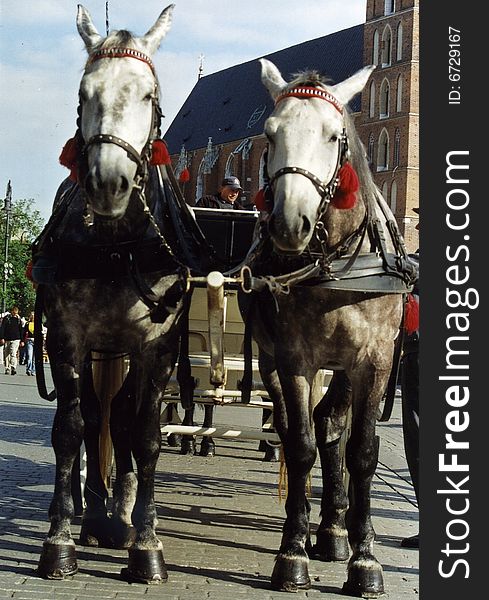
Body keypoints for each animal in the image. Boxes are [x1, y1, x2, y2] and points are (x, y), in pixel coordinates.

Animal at [33, 4, 185, 584]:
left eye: (147, 94)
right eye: (84, 92)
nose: (108, 182)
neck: (116, 242)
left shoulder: (157, 348)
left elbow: (143, 434)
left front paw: (146, 543)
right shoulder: (67, 337)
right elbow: (71, 428)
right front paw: (59, 540)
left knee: (119, 418)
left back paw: (119, 517)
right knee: (98, 417)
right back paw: (95, 514)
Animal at [239, 59, 416, 596]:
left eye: (335, 135)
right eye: (268, 133)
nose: (288, 222)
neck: (337, 263)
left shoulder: (375, 360)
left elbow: (363, 451)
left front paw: (365, 559)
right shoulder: (294, 358)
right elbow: (299, 447)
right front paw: (292, 552)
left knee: (334, 424)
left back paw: (337, 529)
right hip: (274, 362)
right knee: (304, 427)